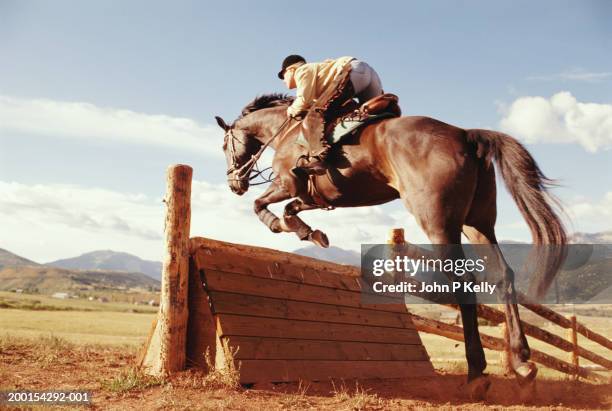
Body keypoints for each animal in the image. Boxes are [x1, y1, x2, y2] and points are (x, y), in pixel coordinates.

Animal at [213, 94, 568, 400]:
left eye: (224, 145)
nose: (234, 183)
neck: (286, 131)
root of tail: (466, 135)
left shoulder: (286, 183)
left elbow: (261, 205)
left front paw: (285, 226)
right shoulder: (314, 196)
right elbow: (292, 209)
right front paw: (311, 233)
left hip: (438, 222)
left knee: (463, 283)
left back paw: (477, 374)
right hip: (478, 224)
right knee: (502, 276)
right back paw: (521, 364)